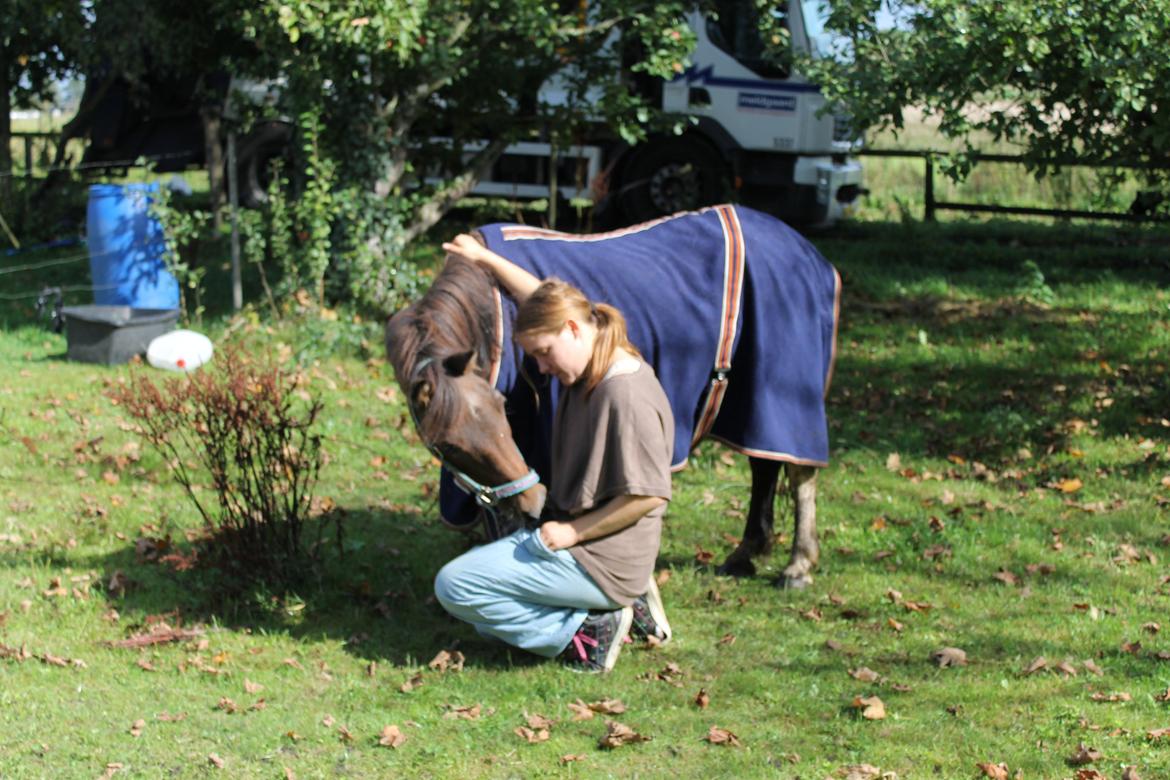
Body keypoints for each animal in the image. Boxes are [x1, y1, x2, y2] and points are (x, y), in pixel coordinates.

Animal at [388, 203, 837, 584]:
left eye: (502, 409)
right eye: (448, 443)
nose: (536, 499)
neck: (496, 313)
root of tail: (810, 255)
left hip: (783, 391)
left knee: (799, 472)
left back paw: (798, 565)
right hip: (751, 403)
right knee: (764, 466)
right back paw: (746, 554)